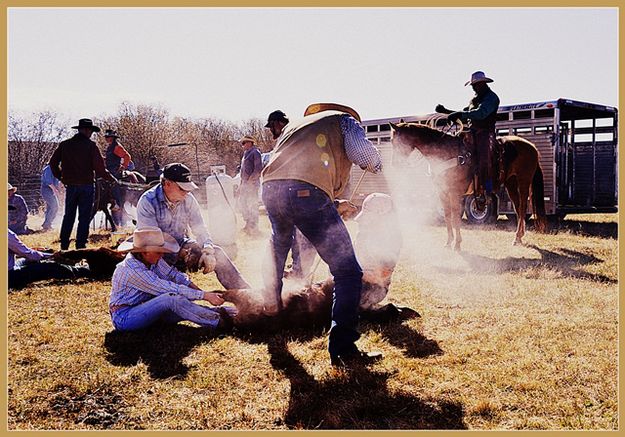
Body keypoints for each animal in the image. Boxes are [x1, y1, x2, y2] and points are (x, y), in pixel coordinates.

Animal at [388, 121, 544, 249]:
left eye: (395, 141)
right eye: (391, 140)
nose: (394, 164)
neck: (446, 153)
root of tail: (532, 147)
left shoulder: (455, 192)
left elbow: (456, 217)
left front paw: (457, 244)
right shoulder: (442, 192)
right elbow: (447, 216)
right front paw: (448, 242)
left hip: (523, 181)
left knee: (523, 207)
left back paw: (517, 237)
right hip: (511, 183)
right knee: (518, 208)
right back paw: (519, 237)